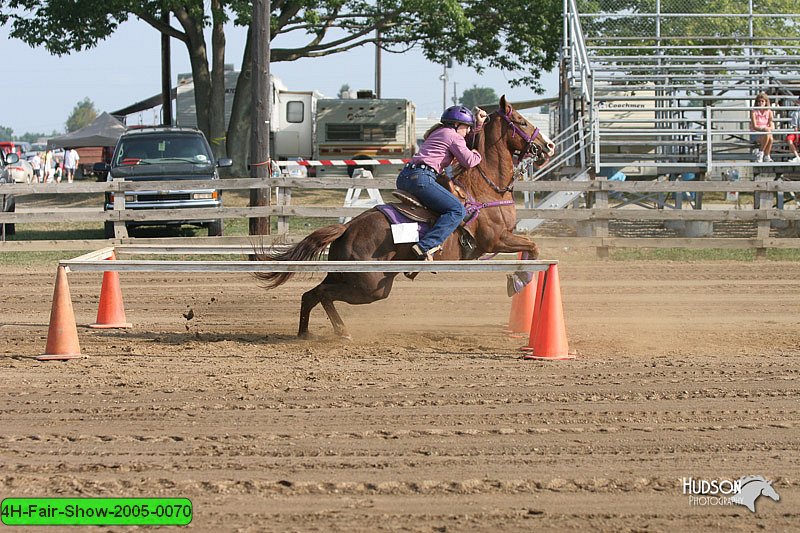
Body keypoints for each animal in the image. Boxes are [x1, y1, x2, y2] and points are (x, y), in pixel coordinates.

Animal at [256, 94, 556, 336]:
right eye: (521, 121)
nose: (549, 146)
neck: (484, 188)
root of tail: (347, 229)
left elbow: (532, 248)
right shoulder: (495, 240)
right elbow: (533, 247)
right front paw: (518, 281)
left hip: (348, 275)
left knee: (311, 294)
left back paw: (312, 333)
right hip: (370, 285)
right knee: (321, 293)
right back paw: (337, 332)